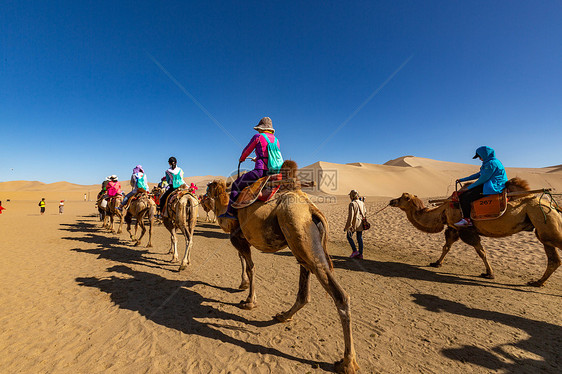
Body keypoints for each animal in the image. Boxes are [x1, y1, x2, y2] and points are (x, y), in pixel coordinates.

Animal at [207, 161, 358, 374]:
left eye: (209, 188)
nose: (203, 196)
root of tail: (312, 210)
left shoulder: (237, 236)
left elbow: (250, 267)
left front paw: (249, 301)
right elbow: (245, 262)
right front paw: (243, 288)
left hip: (297, 228)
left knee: (340, 295)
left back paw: (347, 362)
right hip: (302, 242)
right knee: (305, 288)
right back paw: (284, 316)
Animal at [388, 178, 560, 286]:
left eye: (404, 197)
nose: (391, 201)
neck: (443, 210)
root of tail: (552, 205)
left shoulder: (466, 230)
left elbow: (481, 252)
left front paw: (489, 273)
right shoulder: (453, 228)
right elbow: (446, 247)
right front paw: (437, 263)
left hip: (543, 220)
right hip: (543, 230)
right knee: (554, 260)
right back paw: (537, 282)